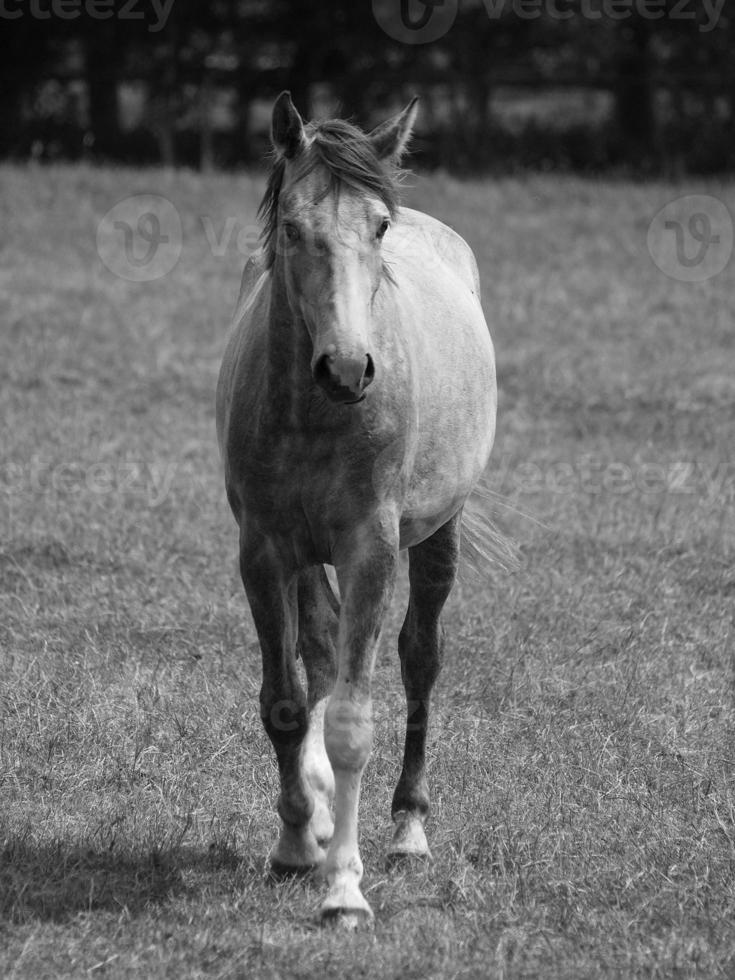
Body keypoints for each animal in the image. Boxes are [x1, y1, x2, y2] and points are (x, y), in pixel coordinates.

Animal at [216, 94, 498, 928]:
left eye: (376, 227)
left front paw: (343, 887)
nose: (346, 368)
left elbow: (350, 719)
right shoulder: (264, 550)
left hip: (436, 535)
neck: (318, 412)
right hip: (308, 555)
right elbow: (284, 701)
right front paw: (294, 847)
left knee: (419, 659)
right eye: (289, 227)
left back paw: (407, 828)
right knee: (319, 648)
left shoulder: (370, 547)